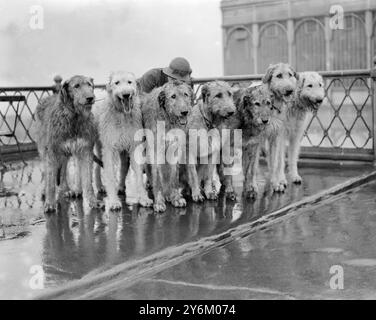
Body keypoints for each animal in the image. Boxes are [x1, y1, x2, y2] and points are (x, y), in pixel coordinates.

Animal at [35, 75, 98, 212]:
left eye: (89, 84)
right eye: (76, 86)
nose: (90, 98)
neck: (74, 117)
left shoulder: (85, 150)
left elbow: (87, 179)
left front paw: (93, 201)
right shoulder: (52, 152)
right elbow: (50, 180)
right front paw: (50, 203)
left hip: (65, 154)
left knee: (63, 170)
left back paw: (67, 189)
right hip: (45, 150)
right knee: (46, 172)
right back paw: (45, 190)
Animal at [92, 70, 152, 210]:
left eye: (130, 82)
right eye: (117, 83)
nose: (125, 94)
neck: (122, 114)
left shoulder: (133, 143)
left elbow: (138, 172)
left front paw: (143, 198)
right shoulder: (109, 147)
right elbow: (109, 172)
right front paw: (113, 201)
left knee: (124, 166)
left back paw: (120, 186)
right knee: (96, 166)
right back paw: (99, 186)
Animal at [142, 80, 192, 212]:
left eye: (186, 94)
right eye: (173, 96)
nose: (185, 112)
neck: (168, 120)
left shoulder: (174, 149)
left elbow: (174, 177)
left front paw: (176, 198)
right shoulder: (156, 152)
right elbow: (157, 179)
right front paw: (159, 202)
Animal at [262, 62, 298, 192]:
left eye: (290, 75)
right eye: (279, 75)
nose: (289, 90)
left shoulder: (276, 137)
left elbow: (275, 162)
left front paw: (276, 183)